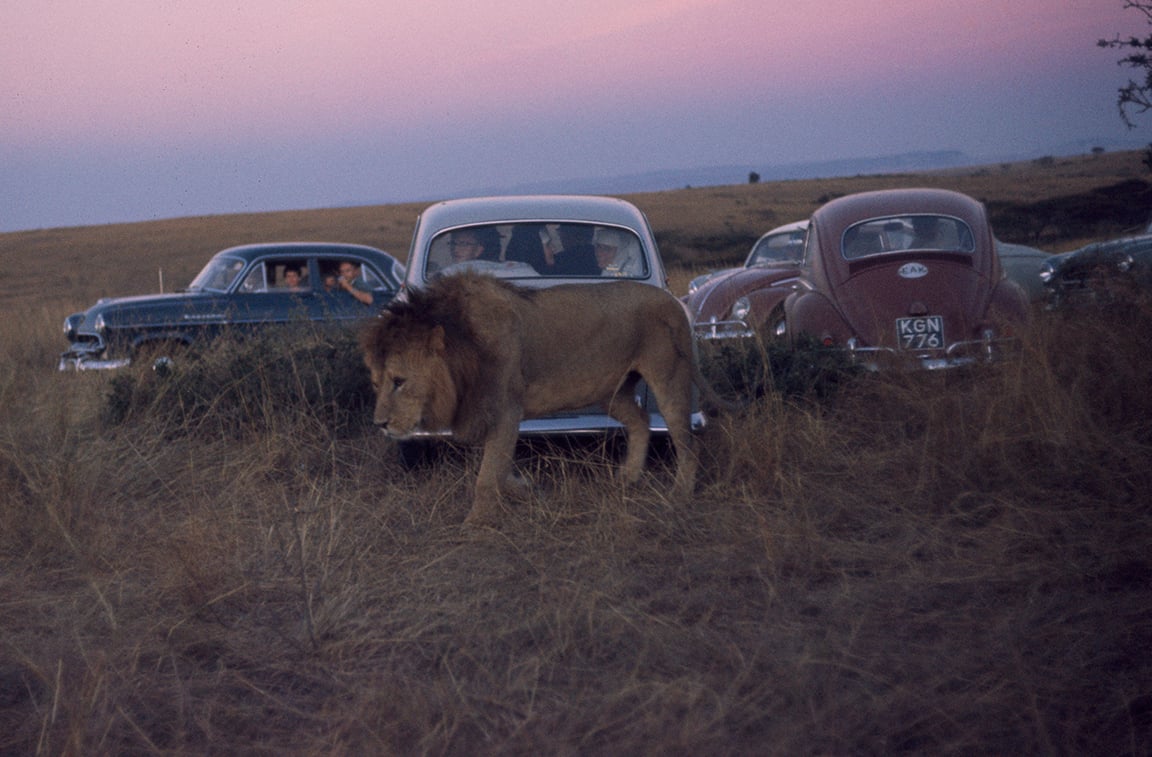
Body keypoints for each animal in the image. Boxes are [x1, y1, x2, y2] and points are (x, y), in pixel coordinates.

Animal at [364, 269, 714, 525]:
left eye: (399, 381)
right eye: (376, 384)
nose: (379, 424)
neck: (464, 350)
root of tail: (672, 301)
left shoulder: (506, 410)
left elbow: (487, 476)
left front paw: (474, 525)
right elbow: (500, 468)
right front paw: (526, 489)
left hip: (668, 377)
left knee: (689, 442)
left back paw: (679, 496)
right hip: (611, 389)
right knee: (641, 420)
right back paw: (628, 477)